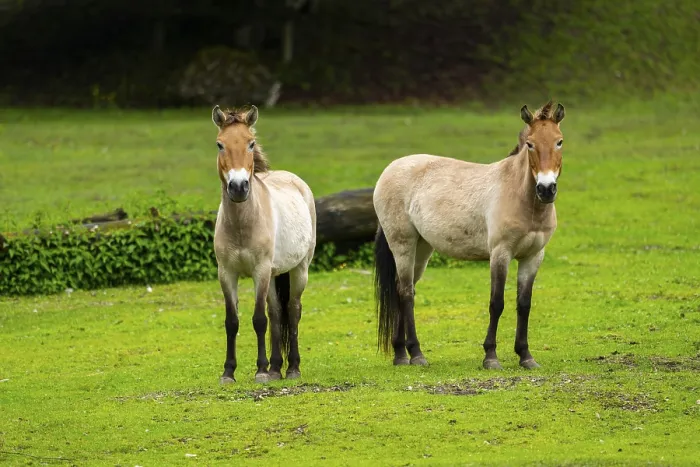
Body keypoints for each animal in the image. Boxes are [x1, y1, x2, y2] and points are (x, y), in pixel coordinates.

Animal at [212, 104, 316, 384]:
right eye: (220, 144)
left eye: (250, 143)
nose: (238, 187)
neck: (242, 224)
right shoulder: (227, 273)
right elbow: (232, 320)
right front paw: (228, 372)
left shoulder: (260, 270)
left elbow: (258, 319)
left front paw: (260, 370)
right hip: (273, 275)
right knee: (277, 313)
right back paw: (276, 368)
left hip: (299, 270)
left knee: (293, 310)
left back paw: (292, 368)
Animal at [373, 101, 566, 370]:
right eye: (530, 143)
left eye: (559, 141)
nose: (546, 189)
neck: (520, 196)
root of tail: (390, 169)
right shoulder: (500, 254)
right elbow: (497, 303)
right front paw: (491, 357)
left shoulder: (533, 256)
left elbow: (523, 304)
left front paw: (526, 356)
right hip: (402, 244)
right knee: (406, 293)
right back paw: (417, 354)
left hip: (422, 249)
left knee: (402, 288)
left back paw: (401, 354)